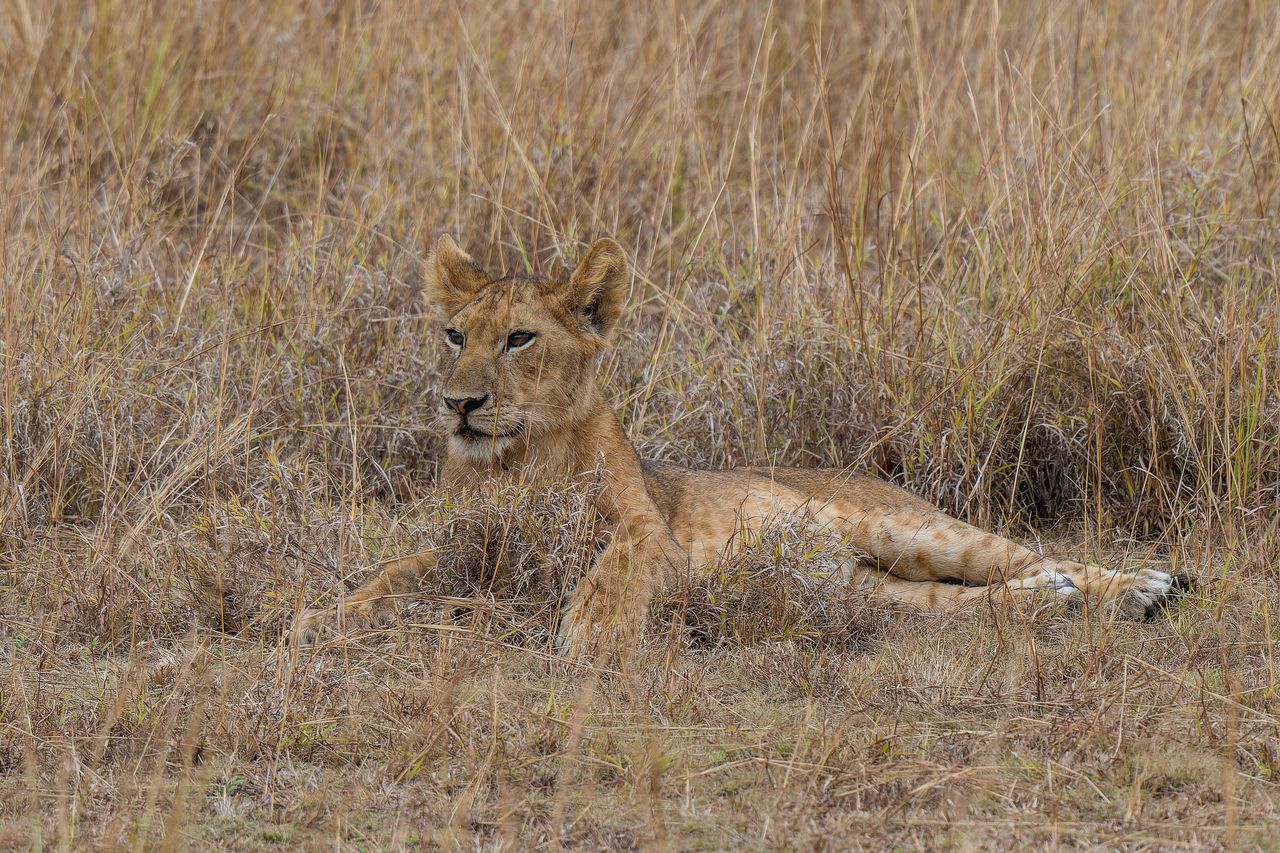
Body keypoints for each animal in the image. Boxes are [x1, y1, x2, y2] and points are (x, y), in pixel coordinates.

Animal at [293, 236, 1190, 656]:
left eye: (519, 338)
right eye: (454, 335)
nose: (460, 404)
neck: (517, 461)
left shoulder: (648, 529)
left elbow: (614, 566)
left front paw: (595, 634)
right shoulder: (457, 548)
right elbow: (389, 573)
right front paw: (325, 618)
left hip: (904, 526)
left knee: (1030, 553)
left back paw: (1140, 585)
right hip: (869, 595)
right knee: (978, 599)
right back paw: (1055, 600)